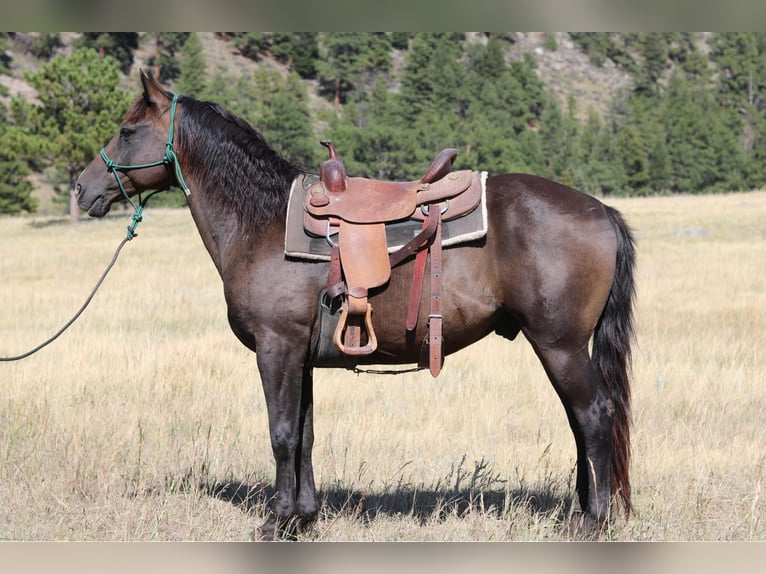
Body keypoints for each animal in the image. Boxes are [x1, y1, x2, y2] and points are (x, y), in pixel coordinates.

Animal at [74, 72, 636, 539]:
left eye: (127, 130)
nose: (82, 187)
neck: (261, 223)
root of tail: (600, 210)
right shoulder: (300, 357)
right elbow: (304, 434)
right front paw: (302, 517)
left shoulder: (276, 349)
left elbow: (281, 433)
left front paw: (276, 522)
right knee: (581, 421)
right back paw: (581, 512)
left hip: (559, 346)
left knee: (593, 416)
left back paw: (593, 522)